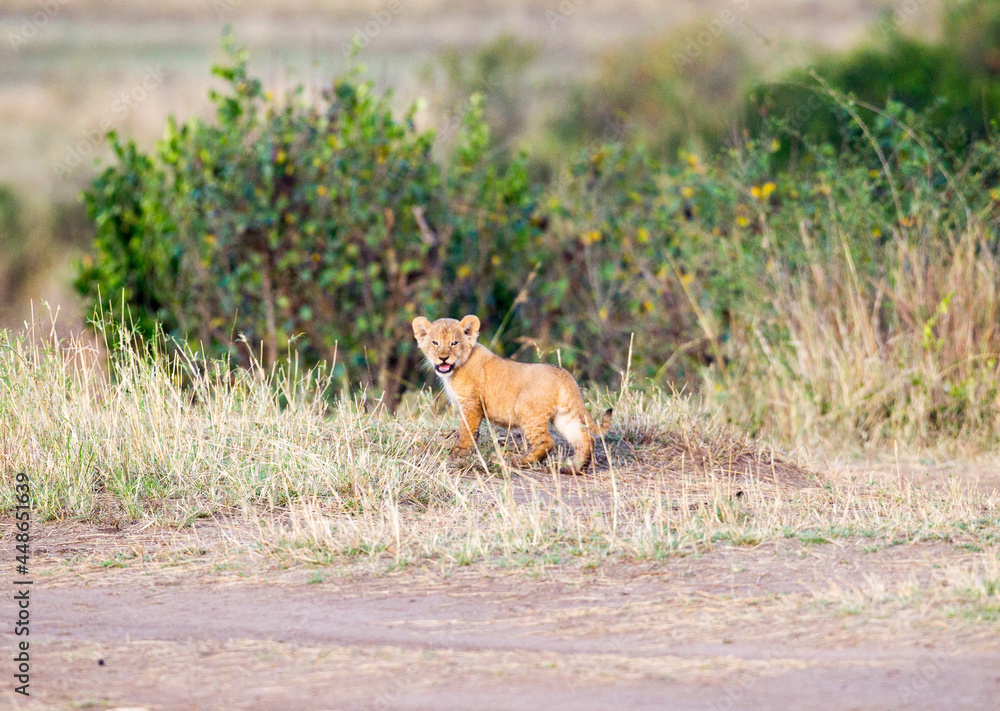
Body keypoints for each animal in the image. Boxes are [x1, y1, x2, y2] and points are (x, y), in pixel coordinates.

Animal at [412, 314, 612, 473]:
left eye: (454, 343)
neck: (455, 369)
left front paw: (459, 452)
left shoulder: (471, 404)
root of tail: (565, 376)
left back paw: (519, 462)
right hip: (564, 416)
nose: (443, 358)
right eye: (435, 343)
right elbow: (471, 432)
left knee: (547, 442)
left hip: (528, 412)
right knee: (585, 438)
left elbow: (466, 430)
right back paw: (573, 469)